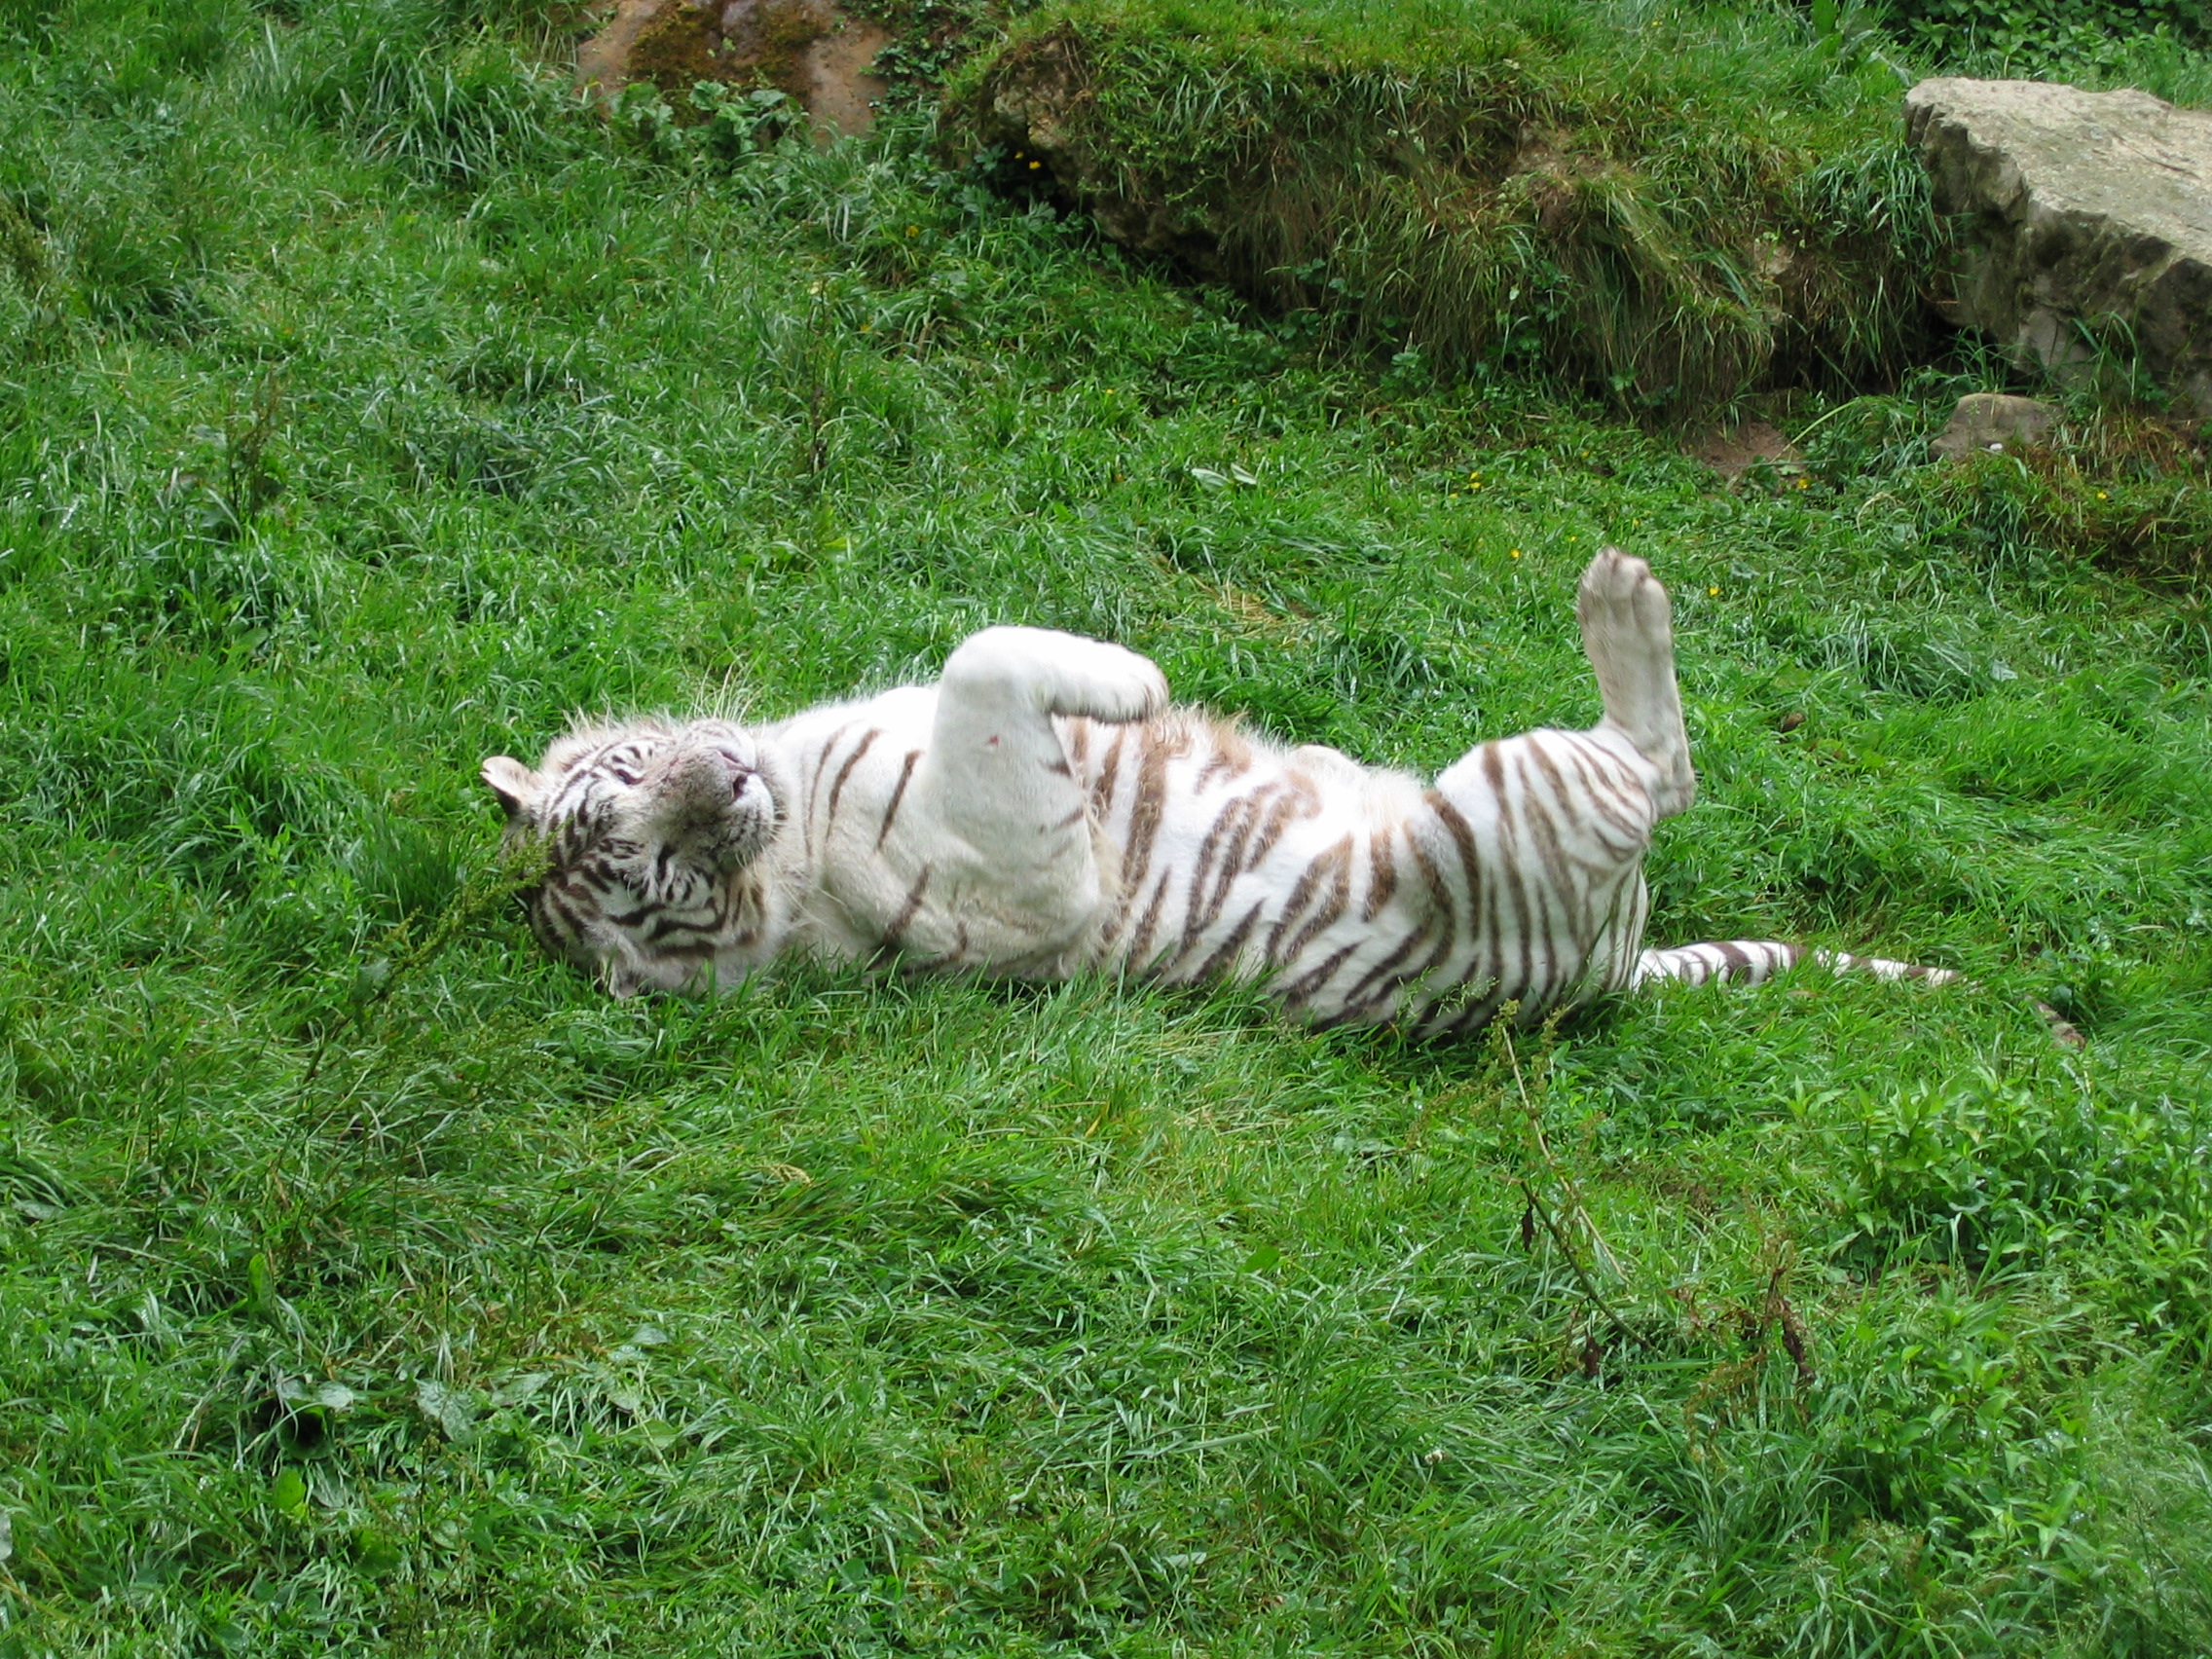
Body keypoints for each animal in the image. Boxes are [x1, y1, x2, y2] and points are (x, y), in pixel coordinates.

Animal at [480, 548, 2021, 1036]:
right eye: (658, 878)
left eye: (631, 776)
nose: (714, 780)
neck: (788, 820)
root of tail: (1612, 971)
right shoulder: (1038, 868)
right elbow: (986, 655)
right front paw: (1138, 681)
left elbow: (972, 647)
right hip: (1509, 792)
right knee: (1663, 765)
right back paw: (1622, 598)